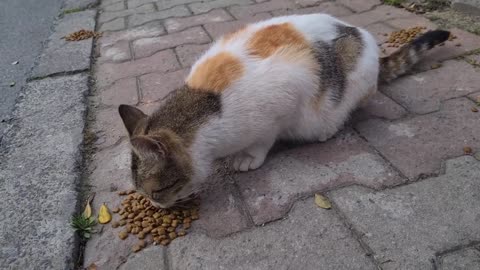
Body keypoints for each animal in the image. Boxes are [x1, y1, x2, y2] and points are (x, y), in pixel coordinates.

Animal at [118, 13, 448, 209]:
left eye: (156, 192)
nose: (156, 206)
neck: (205, 103)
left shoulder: (285, 98)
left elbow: (264, 139)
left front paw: (249, 157)